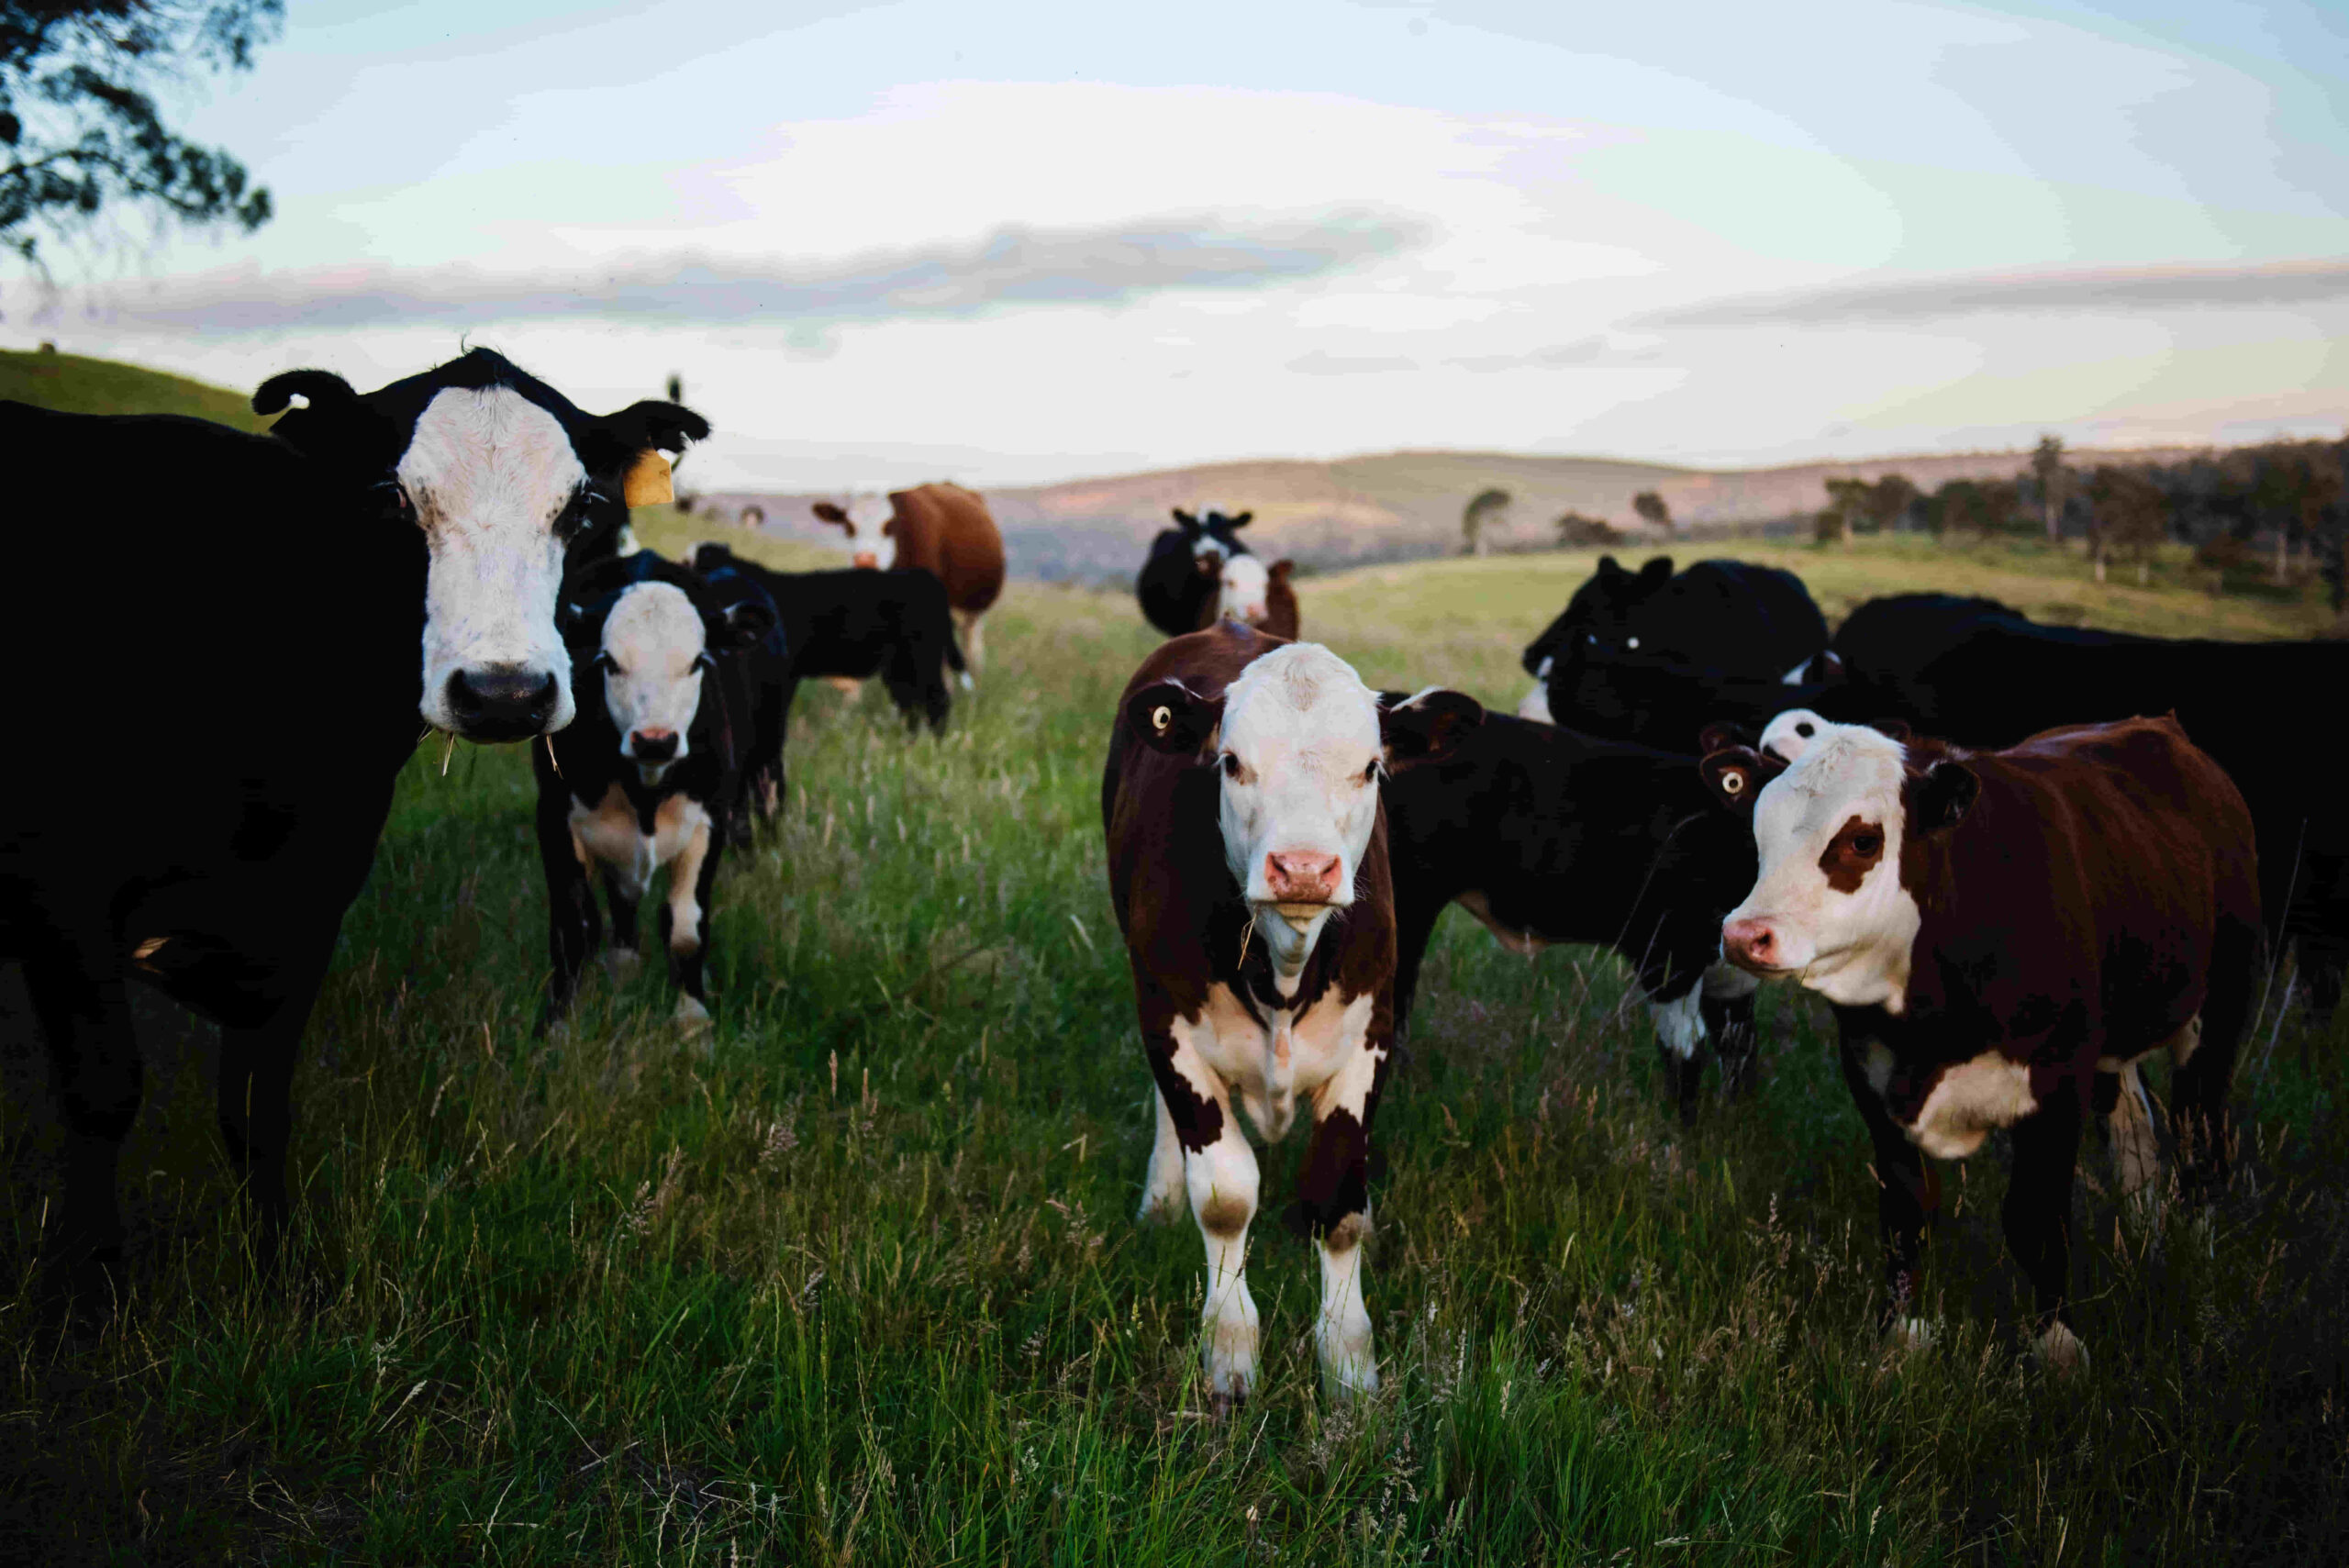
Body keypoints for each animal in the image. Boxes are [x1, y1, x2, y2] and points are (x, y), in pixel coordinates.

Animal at [0, 348, 708, 1299]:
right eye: (390, 498)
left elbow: (257, 1105)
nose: (504, 693)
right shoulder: (61, 897)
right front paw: (90, 1289)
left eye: (583, 508)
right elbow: (105, 1091)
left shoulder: (309, 904)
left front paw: (278, 1274)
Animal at [536, 554, 775, 1033]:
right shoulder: (553, 817)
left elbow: (685, 928)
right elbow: (575, 926)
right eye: (608, 662)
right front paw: (558, 1026)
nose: (655, 740)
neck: (644, 790)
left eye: (697, 662)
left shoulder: (709, 822)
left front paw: (693, 1020)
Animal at [1103, 620, 1481, 1405]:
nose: (1303, 868)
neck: (1281, 967)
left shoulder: (1369, 1038)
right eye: (1232, 762)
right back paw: (1159, 1200)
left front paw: (1349, 1368)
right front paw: (1229, 1353)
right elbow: (1223, 1195)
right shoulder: (1167, 1018)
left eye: (1370, 767)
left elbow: (1337, 1201)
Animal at [1380, 713, 1763, 1120]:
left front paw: (1736, 1120)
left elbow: (1739, 1050)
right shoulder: (1667, 952)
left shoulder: (1731, 978)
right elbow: (1685, 1050)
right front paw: (1681, 1129)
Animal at [1707, 714, 2261, 1367]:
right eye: (1758, 832)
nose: (1745, 935)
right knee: (2135, 1135)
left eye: (1863, 841)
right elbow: (1907, 1210)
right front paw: (1899, 1338)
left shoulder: (2057, 1075)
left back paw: (2193, 1261)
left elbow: (2035, 1217)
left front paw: (2058, 1348)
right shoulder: (1870, 1072)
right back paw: (2144, 1241)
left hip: (2219, 1006)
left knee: (2201, 1135)